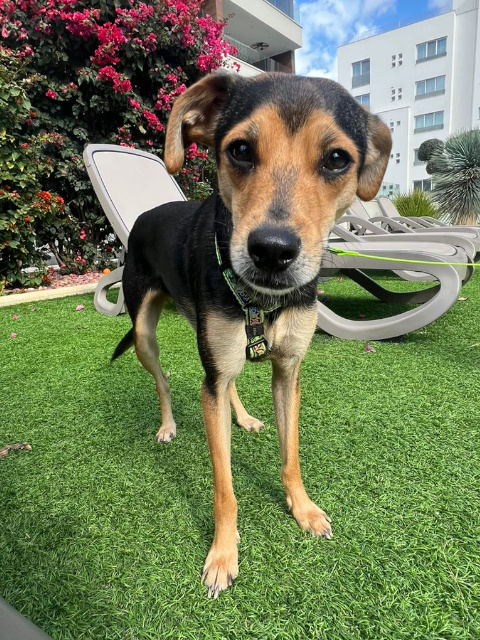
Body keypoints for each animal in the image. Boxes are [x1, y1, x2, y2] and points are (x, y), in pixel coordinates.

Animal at [112, 72, 392, 597]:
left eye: (337, 159)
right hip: (143, 331)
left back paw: (242, 417)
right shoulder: (211, 380)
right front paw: (223, 554)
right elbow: (224, 487)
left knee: (233, 377)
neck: (261, 300)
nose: (272, 250)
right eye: (240, 149)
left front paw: (303, 510)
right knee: (164, 378)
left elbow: (291, 454)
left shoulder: (288, 371)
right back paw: (168, 425)